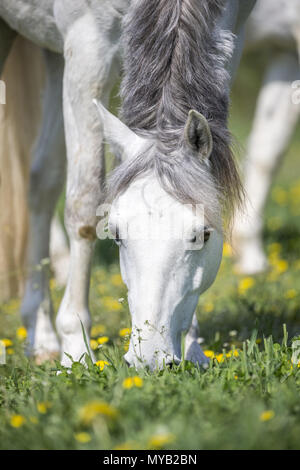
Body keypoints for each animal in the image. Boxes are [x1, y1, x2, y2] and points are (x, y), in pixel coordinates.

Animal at [0, 0, 255, 370]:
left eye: (204, 235)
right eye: (117, 235)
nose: (149, 360)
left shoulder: (232, 31)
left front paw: (193, 347)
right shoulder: (86, 46)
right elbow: (84, 207)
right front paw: (77, 349)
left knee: (41, 181)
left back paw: (41, 335)